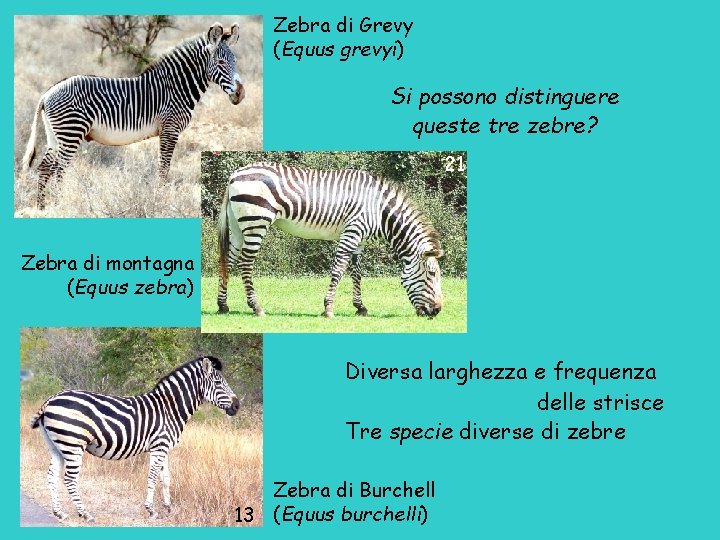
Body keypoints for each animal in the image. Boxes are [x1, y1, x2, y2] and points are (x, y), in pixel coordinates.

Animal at [22, 22, 245, 209]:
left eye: (235, 61)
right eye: (221, 62)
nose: (240, 93)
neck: (176, 87)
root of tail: (47, 93)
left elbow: (163, 167)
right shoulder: (170, 130)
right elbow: (164, 168)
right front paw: (160, 198)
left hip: (55, 135)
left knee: (45, 168)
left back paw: (42, 207)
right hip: (71, 132)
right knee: (59, 169)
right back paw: (60, 204)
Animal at [29, 356, 240, 522]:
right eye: (219, 383)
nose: (237, 406)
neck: (169, 408)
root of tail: (51, 400)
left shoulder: (164, 448)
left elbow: (166, 478)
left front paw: (168, 508)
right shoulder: (159, 446)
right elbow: (153, 477)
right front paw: (151, 510)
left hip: (57, 446)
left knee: (52, 476)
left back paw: (59, 513)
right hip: (73, 445)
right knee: (70, 479)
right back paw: (85, 514)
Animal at [217, 163, 444, 318]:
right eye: (432, 274)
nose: (437, 311)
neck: (379, 210)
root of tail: (234, 175)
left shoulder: (359, 239)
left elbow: (356, 273)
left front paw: (360, 307)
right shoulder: (352, 232)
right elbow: (338, 270)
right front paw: (328, 308)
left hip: (238, 226)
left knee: (228, 261)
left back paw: (222, 305)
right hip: (256, 221)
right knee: (245, 263)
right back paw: (256, 307)